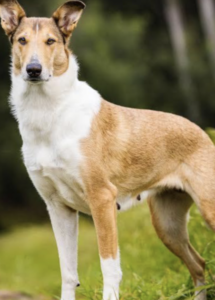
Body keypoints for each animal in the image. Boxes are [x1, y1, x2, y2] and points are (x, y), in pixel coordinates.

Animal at [0, 0, 215, 300]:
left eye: (50, 41)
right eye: (22, 40)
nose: (33, 69)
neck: (48, 111)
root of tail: (201, 132)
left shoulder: (101, 198)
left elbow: (109, 268)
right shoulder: (58, 207)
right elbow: (68, 272)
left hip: (207, 207)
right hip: (167, 224)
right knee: (198, 264)